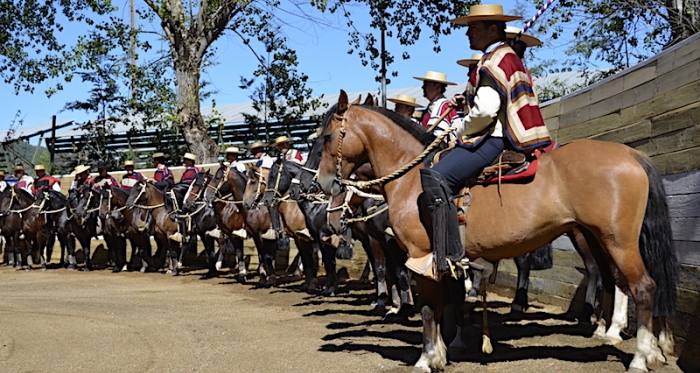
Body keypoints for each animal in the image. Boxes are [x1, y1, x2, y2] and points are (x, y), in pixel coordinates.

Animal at [308, 91, 680, 372]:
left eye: (326, 137)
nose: (320, 185)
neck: (412, 176)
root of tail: (631, 154)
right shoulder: (444, 260)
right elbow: (445, 303)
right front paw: (442, 351)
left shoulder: (421, 256)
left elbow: (430, 307)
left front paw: (428, 358)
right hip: (602, 238)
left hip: (616, 241)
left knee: (642, 287)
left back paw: (639, 356)